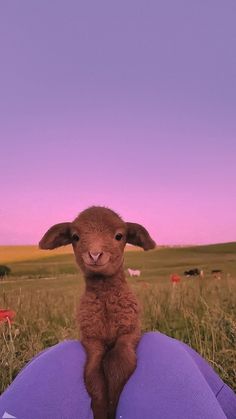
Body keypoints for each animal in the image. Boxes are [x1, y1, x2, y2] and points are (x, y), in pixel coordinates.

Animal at [39, 207, 155, 419]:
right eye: (75, 237)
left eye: (119, 236)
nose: (94, 254)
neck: (106, 304)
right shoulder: (91, 340)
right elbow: (92, 375)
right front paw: (102, 409)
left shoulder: (129, 332)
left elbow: (119, 364)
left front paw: (114, 405)